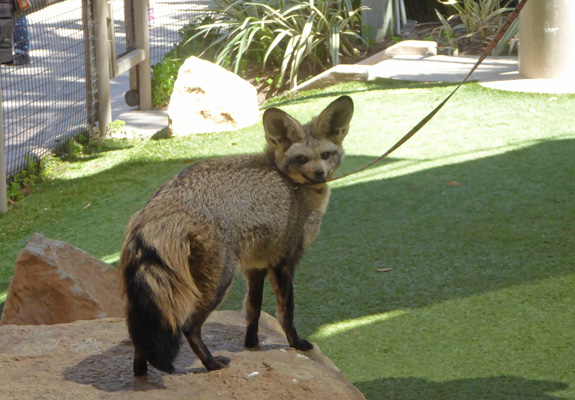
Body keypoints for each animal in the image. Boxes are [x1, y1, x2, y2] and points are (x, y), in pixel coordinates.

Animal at [121, 95, 354, 376]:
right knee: (188, 326)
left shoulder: (256, 266)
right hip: (220, 280)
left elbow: (253, 309)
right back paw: (211, 364)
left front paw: (251, 344)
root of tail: (158, 206)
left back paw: (141, 374)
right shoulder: (284, 263)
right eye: (301, 159)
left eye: (325, 155)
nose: (320, 173)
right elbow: (286, 311)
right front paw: (295, 343)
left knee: (140, 338)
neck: (293, 186)